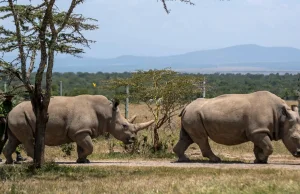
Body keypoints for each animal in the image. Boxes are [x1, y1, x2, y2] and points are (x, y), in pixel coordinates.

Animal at [2, 95, 155, 164]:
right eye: (124, 126)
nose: (133, 139)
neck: (106, 113)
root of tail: (9, 113)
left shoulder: (80, 131)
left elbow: (82, 147)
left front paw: (82, 161)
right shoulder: (81, 131)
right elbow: (90, 147)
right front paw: (83, 160)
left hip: (16, 117)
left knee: (14, 140)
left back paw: (10, 162)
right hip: (20, 117)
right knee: (28, 139)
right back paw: (42, 161)